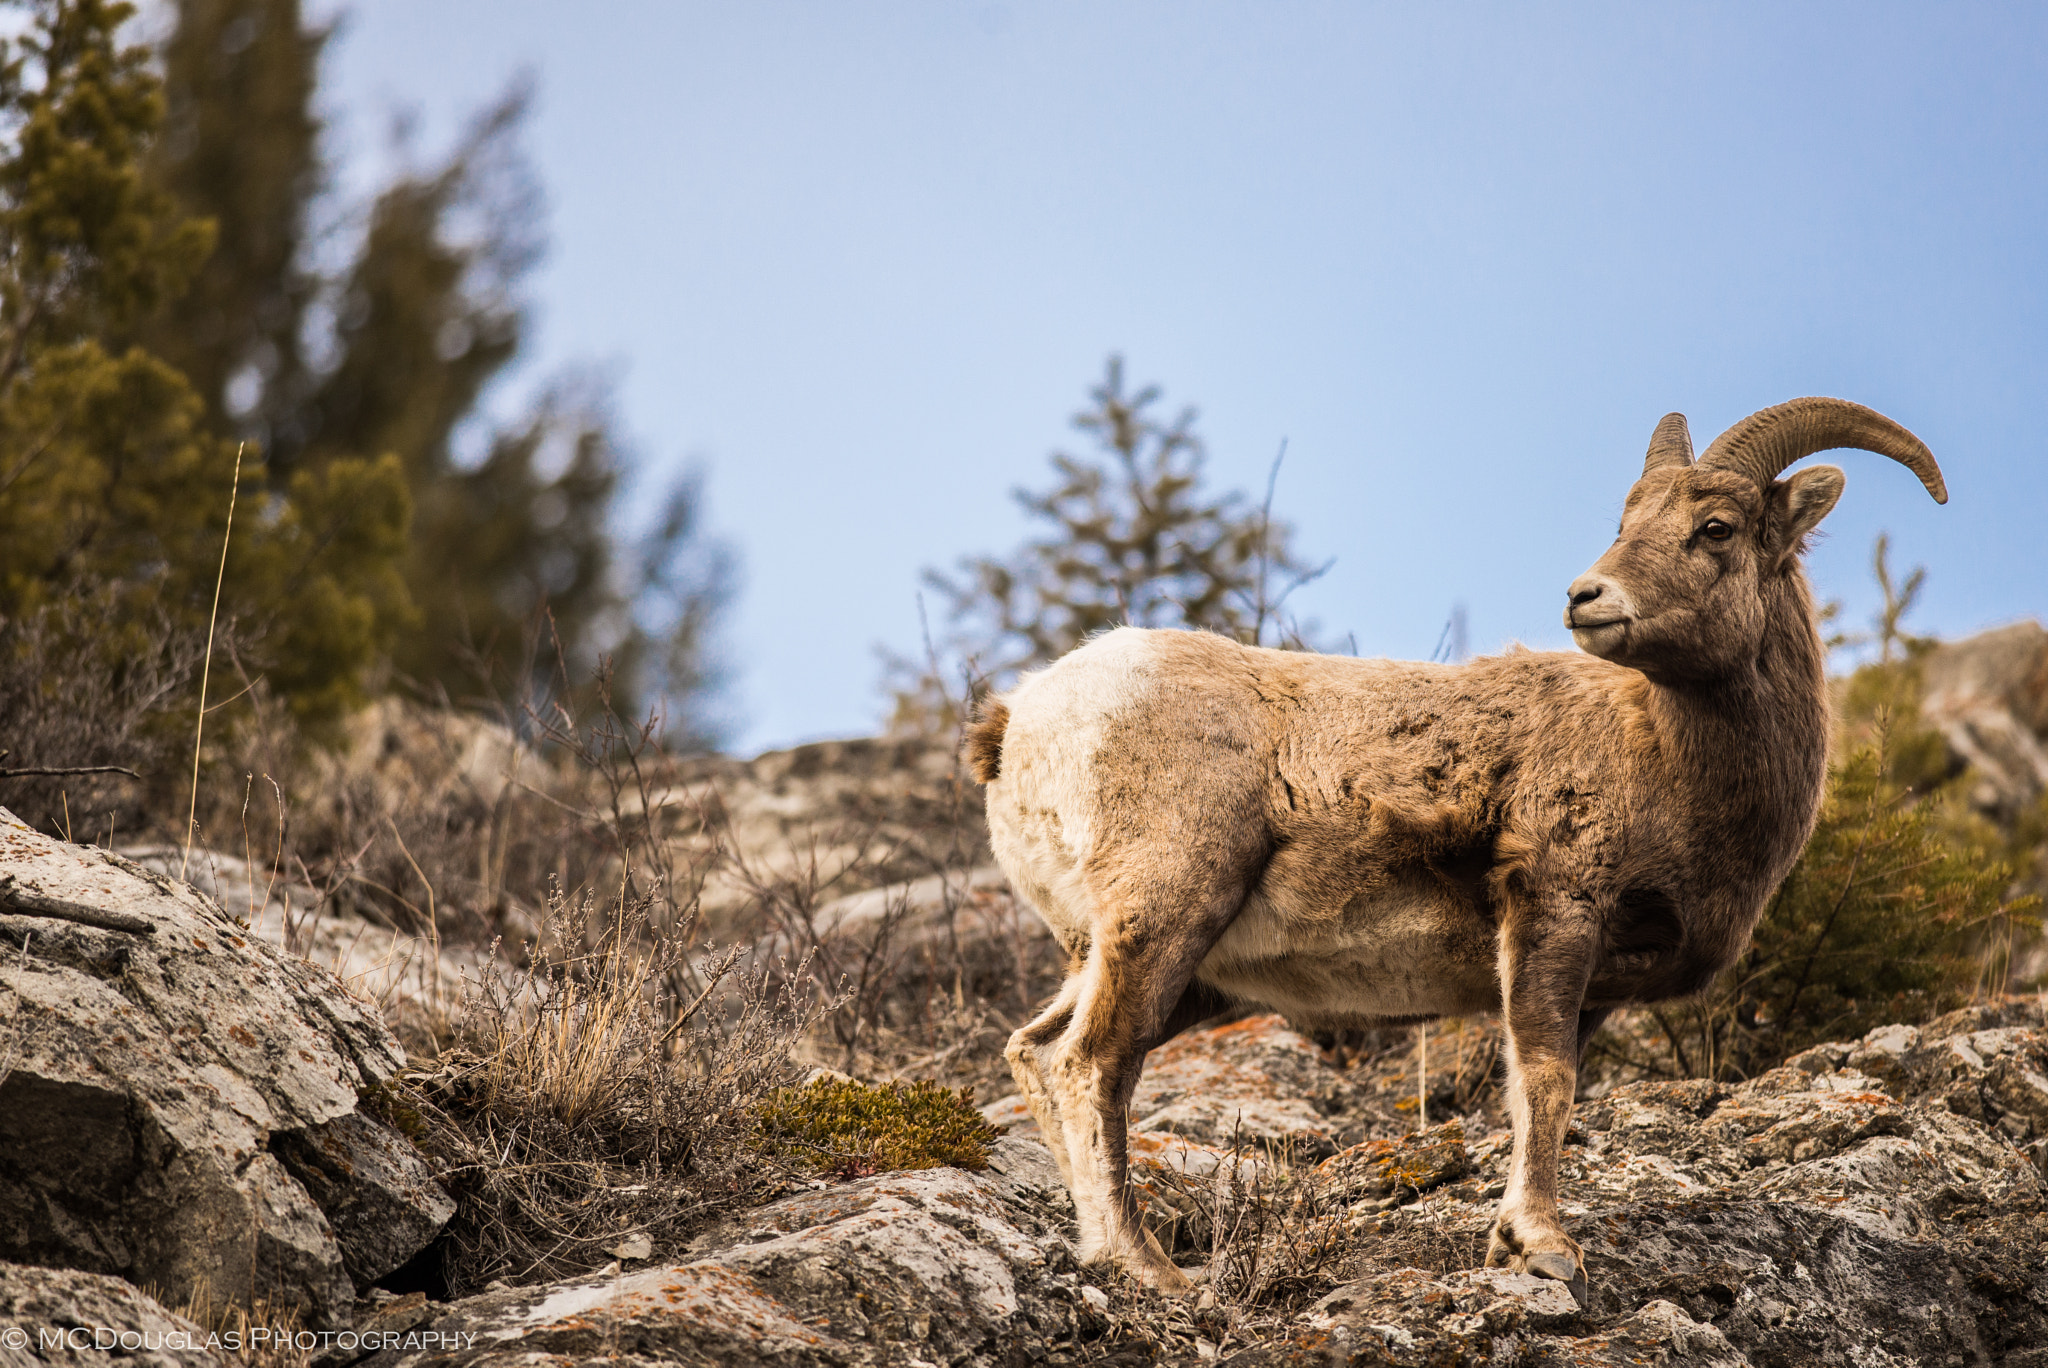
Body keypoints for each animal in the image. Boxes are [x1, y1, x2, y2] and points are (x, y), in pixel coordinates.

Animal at [966, 395, 1941, 1294]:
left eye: (1715, 528)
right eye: (1629, 521)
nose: (1587, 599)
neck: (1662, 753)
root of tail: (1022, 722)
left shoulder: (1593, 986)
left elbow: (1543, 1090)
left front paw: (1514, 1239)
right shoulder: (1554, 912)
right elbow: (1544, 1081)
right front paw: (1542, 1249)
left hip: (1152, 965)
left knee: (1036, 1052)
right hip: (1164, 918)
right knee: (1091, 1064)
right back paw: (1148, 1268)